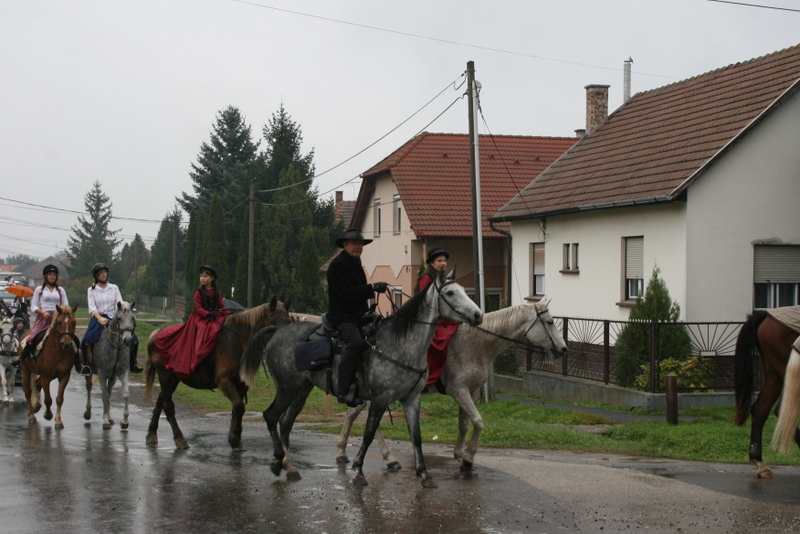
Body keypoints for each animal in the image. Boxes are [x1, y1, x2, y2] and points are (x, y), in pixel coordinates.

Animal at [83, 301, 137, 429]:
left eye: (132, 318)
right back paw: (88, 413)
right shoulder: (102, 373)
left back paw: (110, 417)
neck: (116, 345)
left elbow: (125, 394)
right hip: (89, 373)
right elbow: (104, 396)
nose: (128, 340)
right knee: (89, 387)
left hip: (112, 377)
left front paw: (124, 421)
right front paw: (105, 421)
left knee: (110, 391)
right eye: (119, 318)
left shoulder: (122, 372)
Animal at [144, 297, 293, 450]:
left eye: (288, 321)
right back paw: (180, 439)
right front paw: (235, 438)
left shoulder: (241, 383)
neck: (238, 341)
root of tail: (156, 334)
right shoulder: (224, 381)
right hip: (165, 377)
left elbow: (237, 408)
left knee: (160, 401)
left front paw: (235, 439)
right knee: (168, 406)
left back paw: (151, 434)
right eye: (271, 321)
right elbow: (239, 406)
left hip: (172, 380)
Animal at [240, 268, 483, 488]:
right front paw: (358, 472)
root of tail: (278, 331)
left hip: (302, 390)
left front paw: (424, 474)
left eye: (464, 290)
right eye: (450, 293)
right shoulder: (380, 399)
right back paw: (277, 461)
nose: (478, 315)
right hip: (287, 388)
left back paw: (289, 467)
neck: (400, 345)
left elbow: (416, 436)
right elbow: (368, 434)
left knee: (286, 422)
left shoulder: (412, 399)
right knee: (271, 416)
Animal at [336, 297, 569, 472]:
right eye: (549, 321)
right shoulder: (459, 390)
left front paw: (459, 454)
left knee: (354, 415)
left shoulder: (471, 391)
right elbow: (478, 421)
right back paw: (383, 457)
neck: (477, 343)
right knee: (363, 419)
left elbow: (464, 423)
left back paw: (349, 453)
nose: (564, 349)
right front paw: (468, 459)